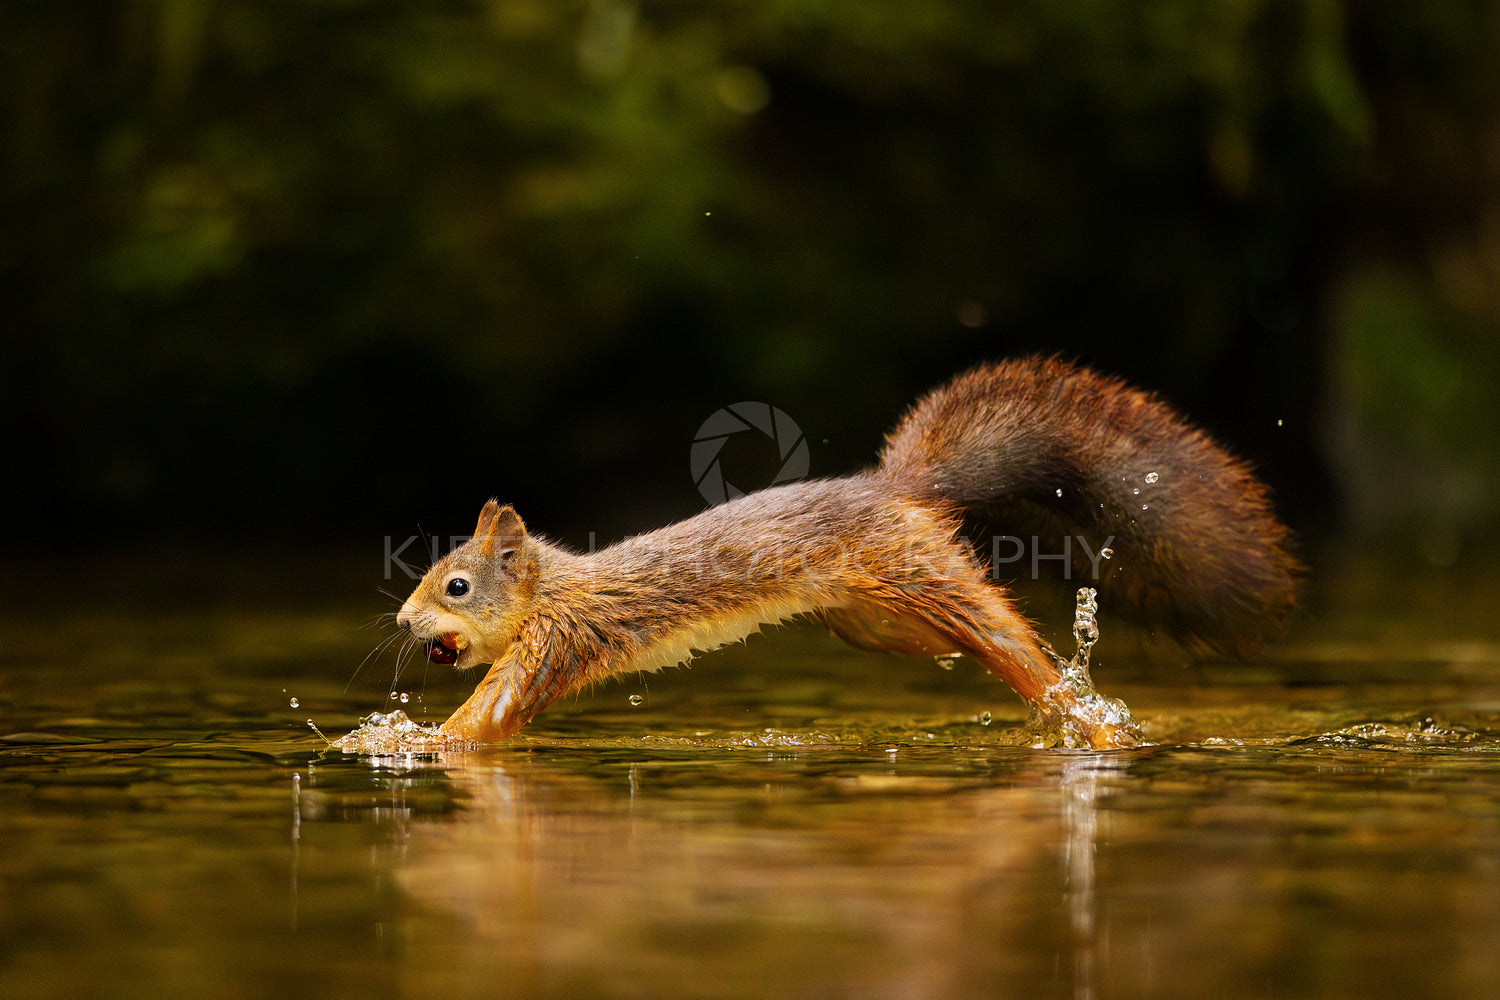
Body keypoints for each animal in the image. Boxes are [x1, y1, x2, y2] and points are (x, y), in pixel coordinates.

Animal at [399, 355, 1302, 746]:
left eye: (454, 586)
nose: (404, 622)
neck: (556, 589)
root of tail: (894, 489)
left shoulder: (557, 642)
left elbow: (486, 715)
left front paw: (394, 742)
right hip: (868, 622)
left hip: (920, 579)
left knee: (1007, 638)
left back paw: (1083, 715)